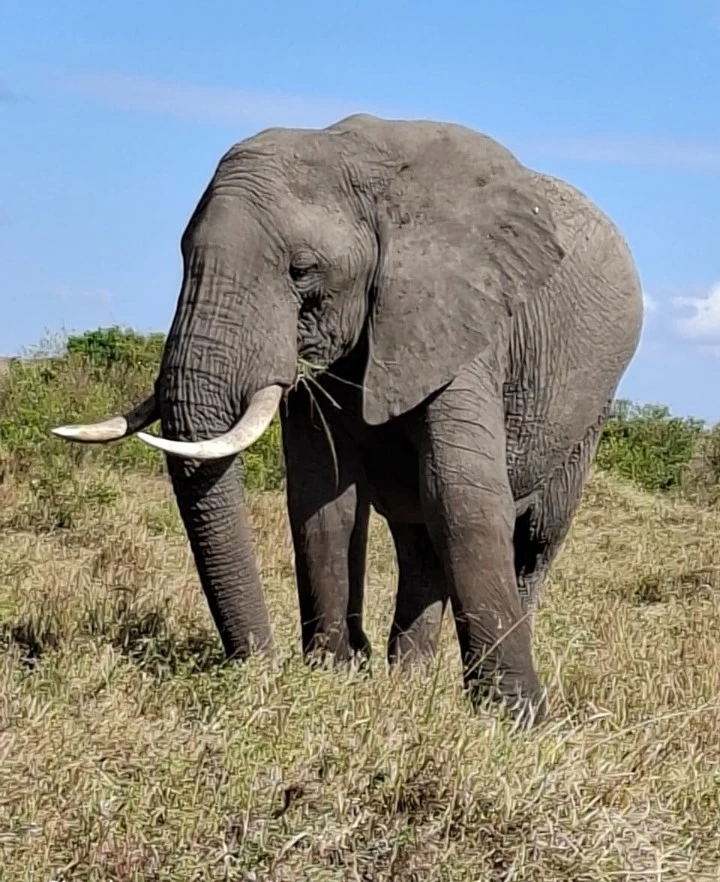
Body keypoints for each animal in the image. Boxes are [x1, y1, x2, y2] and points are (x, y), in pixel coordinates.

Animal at [52, 113, 643, 726]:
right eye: (185, 257)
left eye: (302, 270)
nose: (259, 667)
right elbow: (324, 496)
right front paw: (334, 674)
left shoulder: (463, 319)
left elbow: (460, 494)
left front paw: (515, 720)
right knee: (419, 539)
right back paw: (407, 681)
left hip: (592, 410)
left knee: (534, 538)